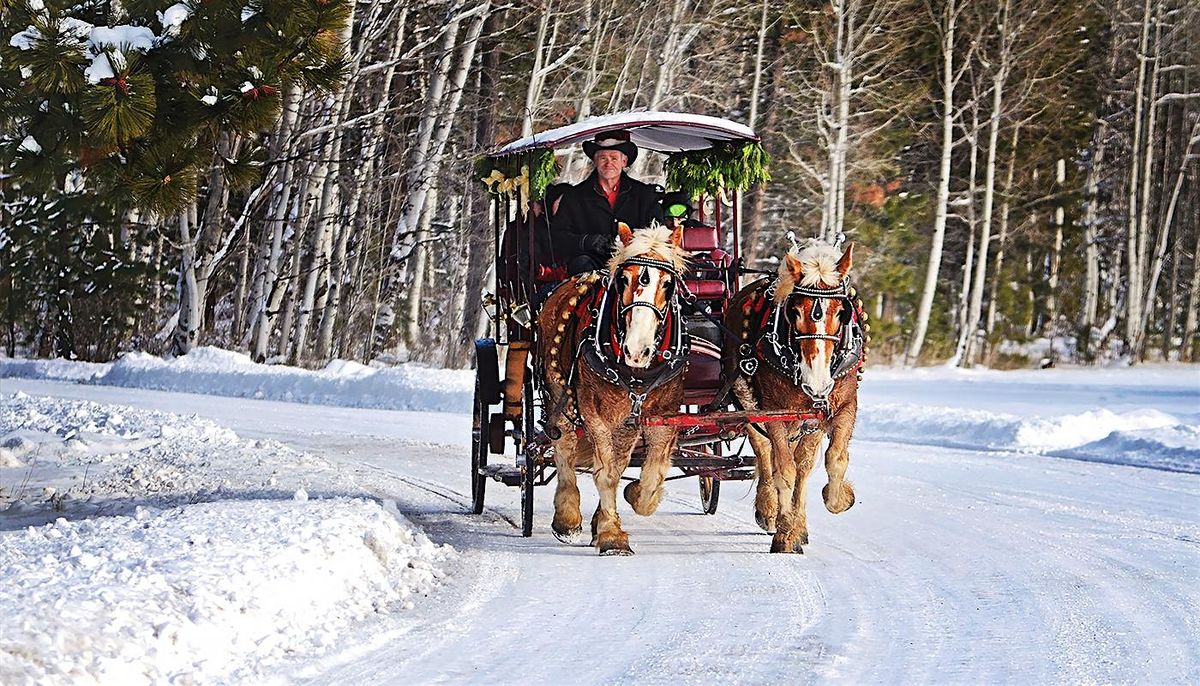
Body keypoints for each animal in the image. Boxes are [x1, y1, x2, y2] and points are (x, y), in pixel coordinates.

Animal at [537, 221, 691, 554]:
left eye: (668, 284)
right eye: (624, 279)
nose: (637, 350)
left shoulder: (662, 415)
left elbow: (651, 474)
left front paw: (634, 496)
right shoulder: (596, 415)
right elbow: (605, 474)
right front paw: (611, 535)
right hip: (559, 394)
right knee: (564, 447)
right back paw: (567, 517)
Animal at [720, 238, 864, 554]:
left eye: (842, 312)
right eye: (795, 312)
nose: (817, 382)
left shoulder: (840, 407)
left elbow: (833, 460)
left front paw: (840, 498)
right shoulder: (773, 412)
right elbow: (783, 469)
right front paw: (784, 533)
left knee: (804, 465)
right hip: (748, 402)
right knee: (765, 452)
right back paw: (768, 510)